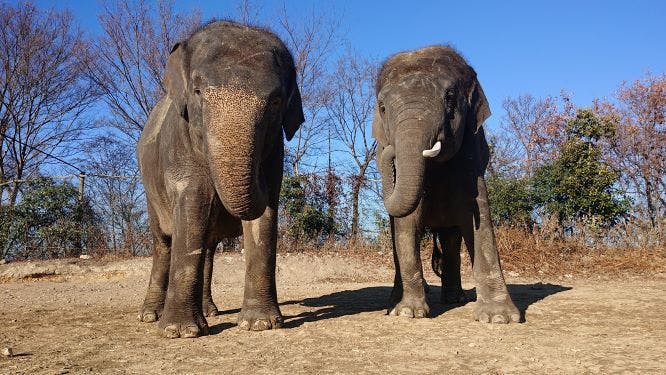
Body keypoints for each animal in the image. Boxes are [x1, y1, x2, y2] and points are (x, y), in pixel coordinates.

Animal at [137, 20, 304, 340]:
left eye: (277, 101)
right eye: (198, 91)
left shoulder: (276, 150)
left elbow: (264, 217)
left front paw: (260, 324)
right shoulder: (180, 143)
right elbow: (192, 205)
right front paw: (179, 332)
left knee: (208, 249)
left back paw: (211, 311)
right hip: (150, 190)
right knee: (163, 242)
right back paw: (150, 316)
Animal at [374, 46, 520, 324]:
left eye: (450, 97)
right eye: (383, 107)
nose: (388, 149)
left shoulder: (470, 151)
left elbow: (478, 212)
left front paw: (499, 318)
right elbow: (407, 223)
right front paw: (408, 313)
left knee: (451, 240)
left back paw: (455, 299)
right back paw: (394, 304)